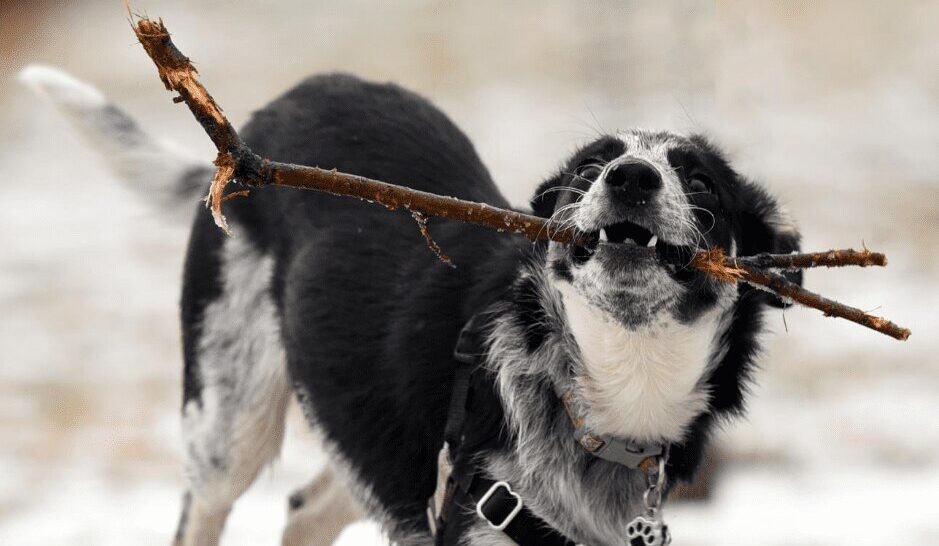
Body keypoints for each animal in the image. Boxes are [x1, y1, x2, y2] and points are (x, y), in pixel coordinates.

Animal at [22, 66, 800, 540]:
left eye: (700, 181)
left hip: (365, 425)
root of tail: (263, 122)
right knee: (204, 513)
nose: (630, 176)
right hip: (229, 427)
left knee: (306, 511)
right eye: (589, 168)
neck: (610, 398)